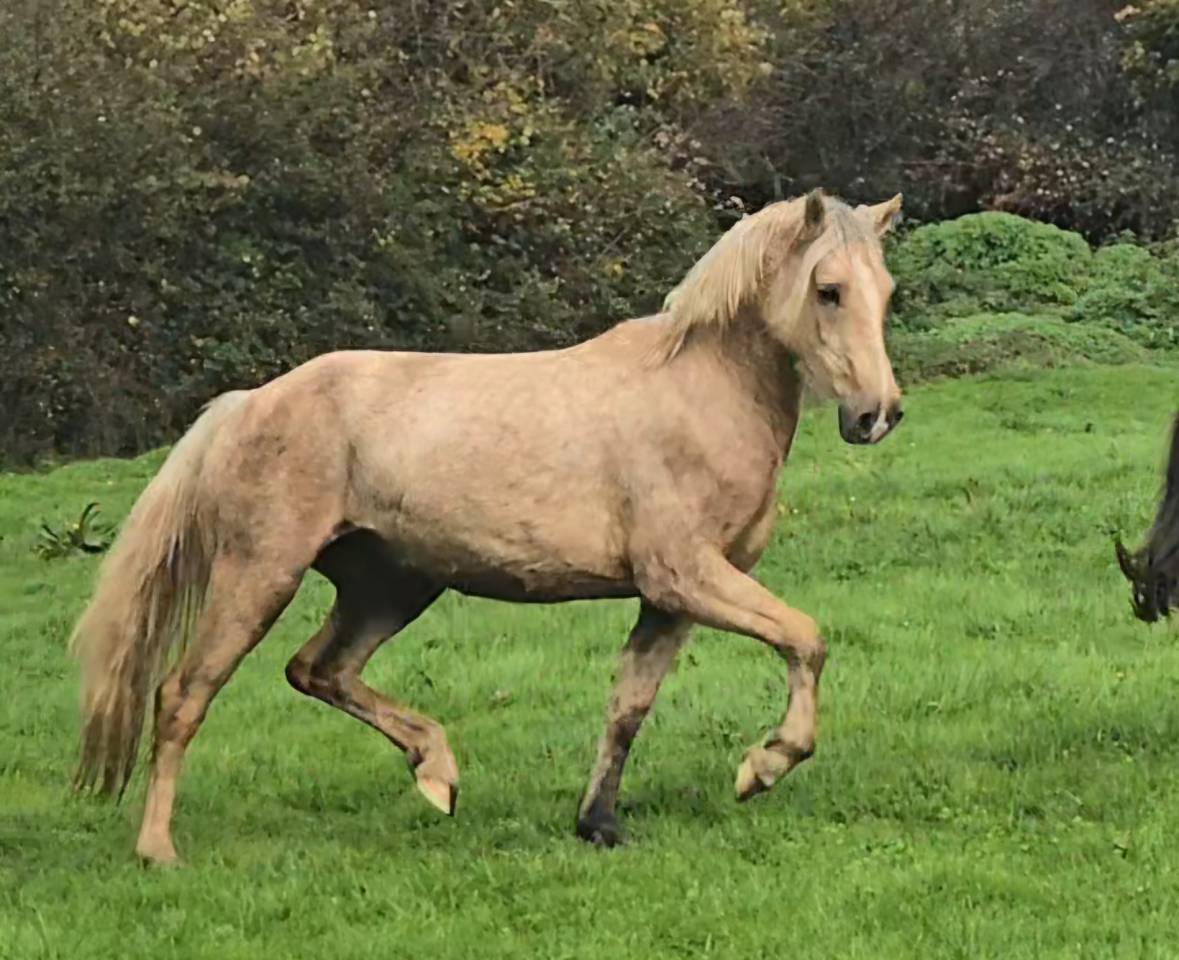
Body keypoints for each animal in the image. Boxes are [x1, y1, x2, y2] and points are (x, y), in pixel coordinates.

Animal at [70, 189, 906, 864]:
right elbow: (805, 638)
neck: (697, 393)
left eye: (885, 293)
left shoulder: (667, 600)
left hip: (390, 586)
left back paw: (436, 776)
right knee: (184, 695)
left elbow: (628, 706)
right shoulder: (686, 575)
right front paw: (760, 767)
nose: (877, 415)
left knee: (318, 670)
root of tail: (245, 404)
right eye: (828, 290)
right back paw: (158, 851)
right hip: (260, 575)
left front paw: (597, 824)